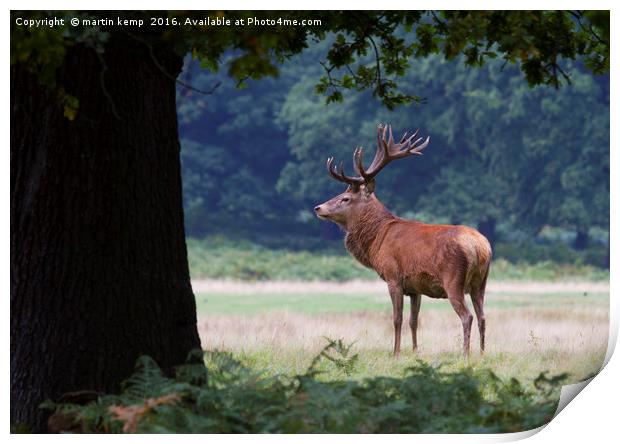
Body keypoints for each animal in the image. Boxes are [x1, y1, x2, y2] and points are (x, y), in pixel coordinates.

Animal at [314, 124, 494, 358]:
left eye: (346, 198)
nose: (318, 207)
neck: (376, 241)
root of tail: (481, 247)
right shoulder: (415, 287)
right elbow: (413, 321)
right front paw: (415, 351)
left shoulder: (393, 276)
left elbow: (397, 319)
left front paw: (396, 352)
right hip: (480, 282)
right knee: (482, 316)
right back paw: (481, 353)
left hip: (453, 278)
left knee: (467, 316)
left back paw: (465, 354)